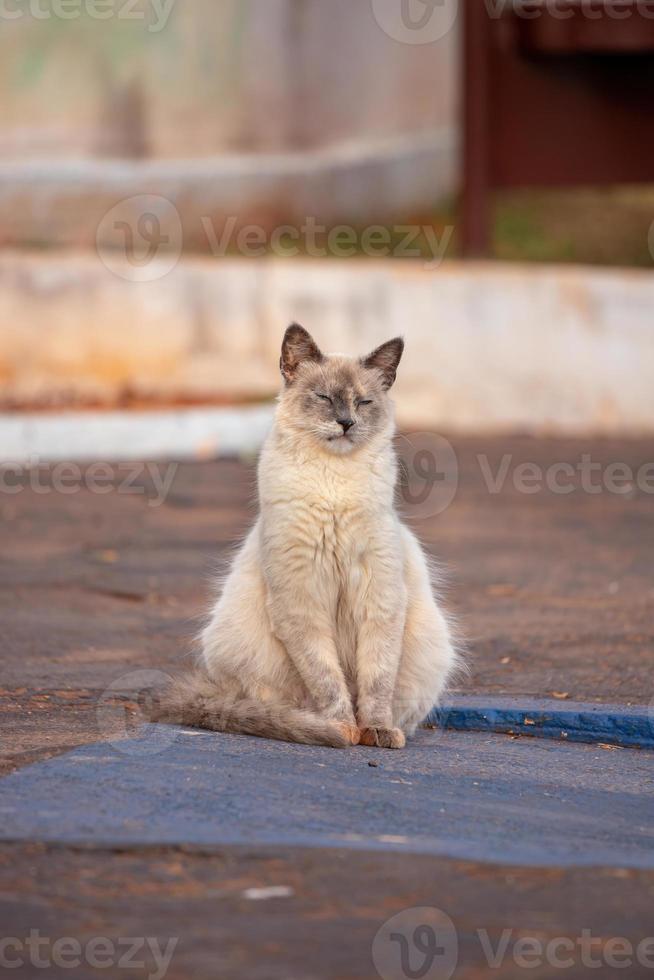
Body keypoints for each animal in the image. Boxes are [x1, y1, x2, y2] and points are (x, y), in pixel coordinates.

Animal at [158, 326, 462, 748]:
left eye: (364, 401)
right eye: (324, 398)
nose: (346, 422)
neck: (334, 482)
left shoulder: (379, 597)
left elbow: (376, 682)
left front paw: (376, 732)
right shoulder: (301, 599)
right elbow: (328, 681)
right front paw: (343, 729)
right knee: (285, 704)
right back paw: (311, 724)